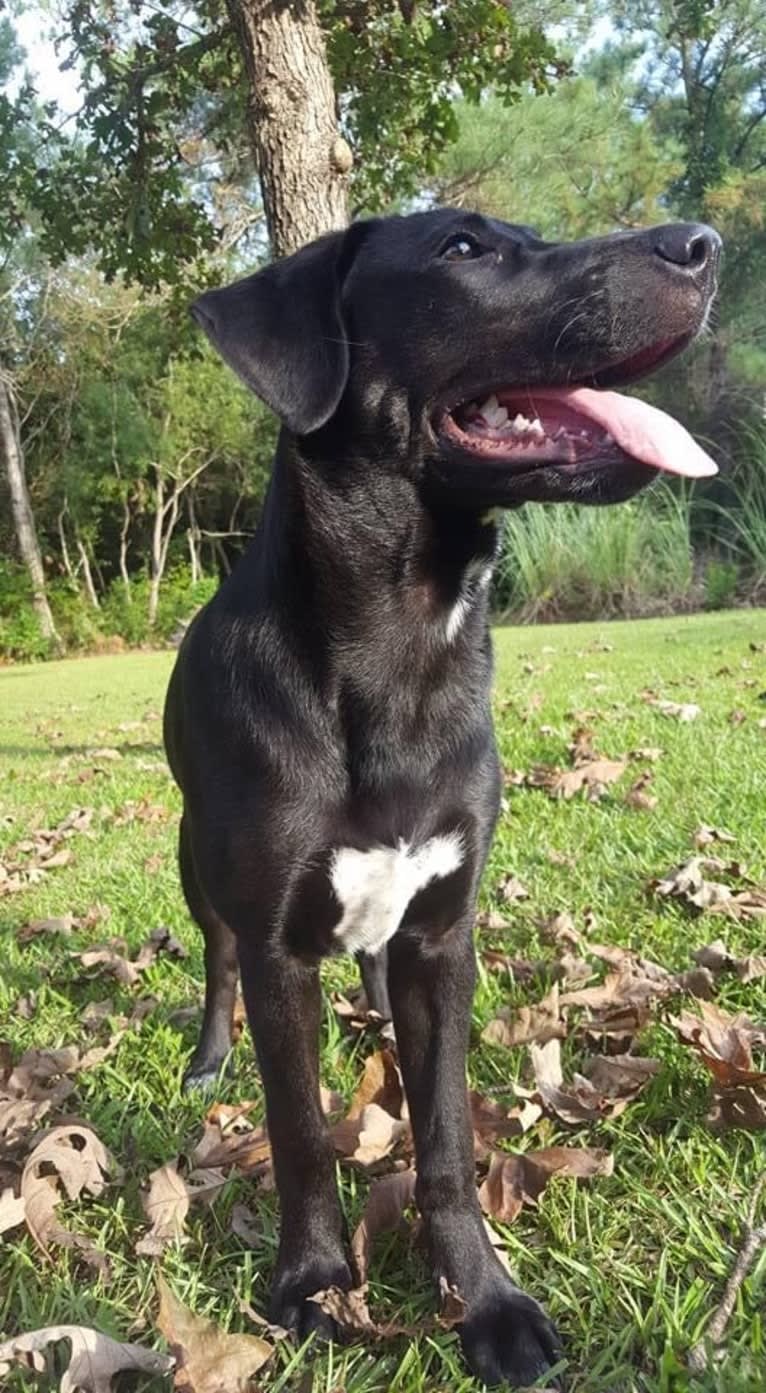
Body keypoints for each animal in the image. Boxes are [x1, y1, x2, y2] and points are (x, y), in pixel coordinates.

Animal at [163, 208, 718, 1393]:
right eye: (462, 250)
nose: (701, 243)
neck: (405, 647)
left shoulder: (445, 930)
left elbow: (449, 1140)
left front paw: (485, 1298)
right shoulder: (278, 948)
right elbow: (299, 1132)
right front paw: (315, 1283)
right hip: (200, 872)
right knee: (216, 962)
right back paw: (208, 1057)